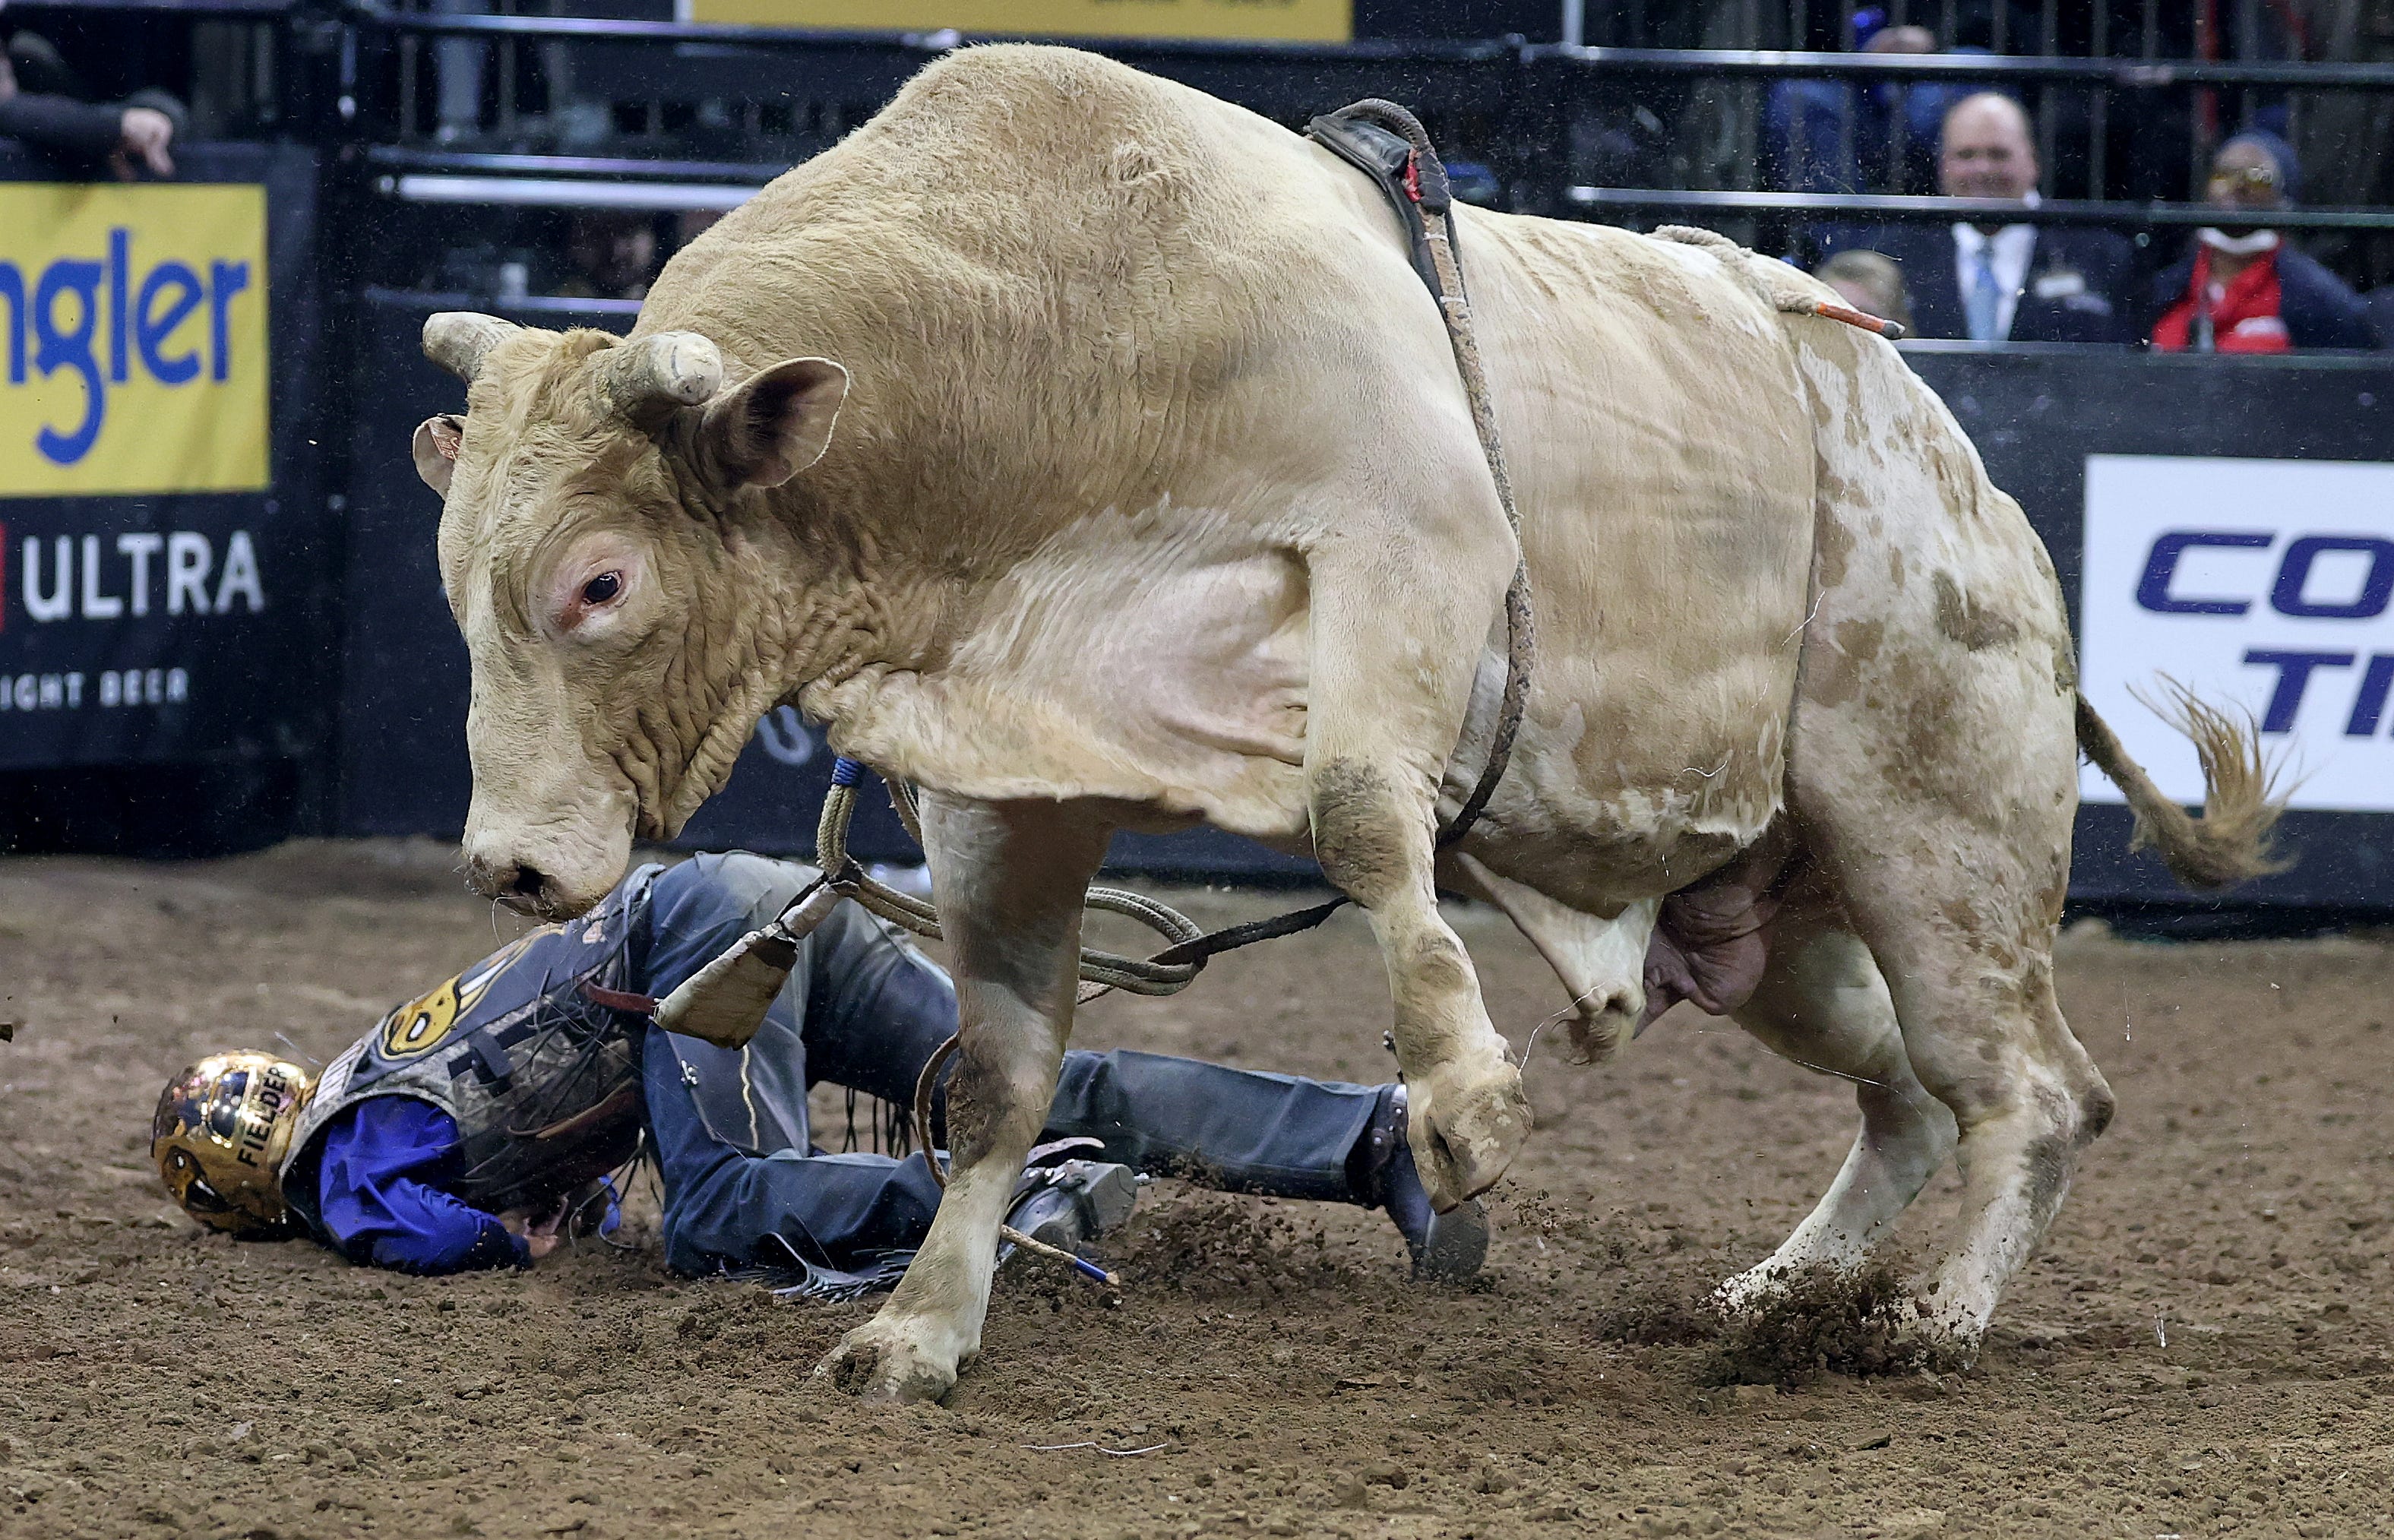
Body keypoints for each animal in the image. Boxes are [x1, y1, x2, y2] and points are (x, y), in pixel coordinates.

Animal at [411, 44, 2280, 1404]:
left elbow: (1363, 816)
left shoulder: (1410, 555)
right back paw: (1782, 1290)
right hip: (1769, 916)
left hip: (1939, 841)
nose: (511, 866)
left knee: (2028, 1091)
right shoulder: (1010, 775)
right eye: (458, 580)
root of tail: (1972, 487)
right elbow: (1000, 1076)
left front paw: (1466, 1101)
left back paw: (1931, 1319)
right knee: (1904, 1089)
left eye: (597, 581)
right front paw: (921, 1327)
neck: (1059, 345)